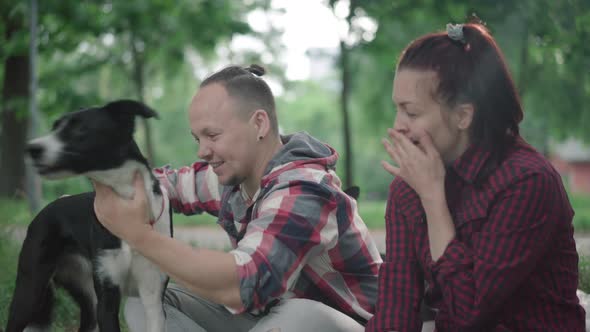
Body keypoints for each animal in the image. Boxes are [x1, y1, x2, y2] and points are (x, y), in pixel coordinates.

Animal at [7, 100, 173, 332]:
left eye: (79, 129)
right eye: (54, 127)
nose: (32, 148)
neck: (127, 201)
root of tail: (46, 210)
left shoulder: (153, 298)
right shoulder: (107, 298)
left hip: (86, 296)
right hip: (30, 289)